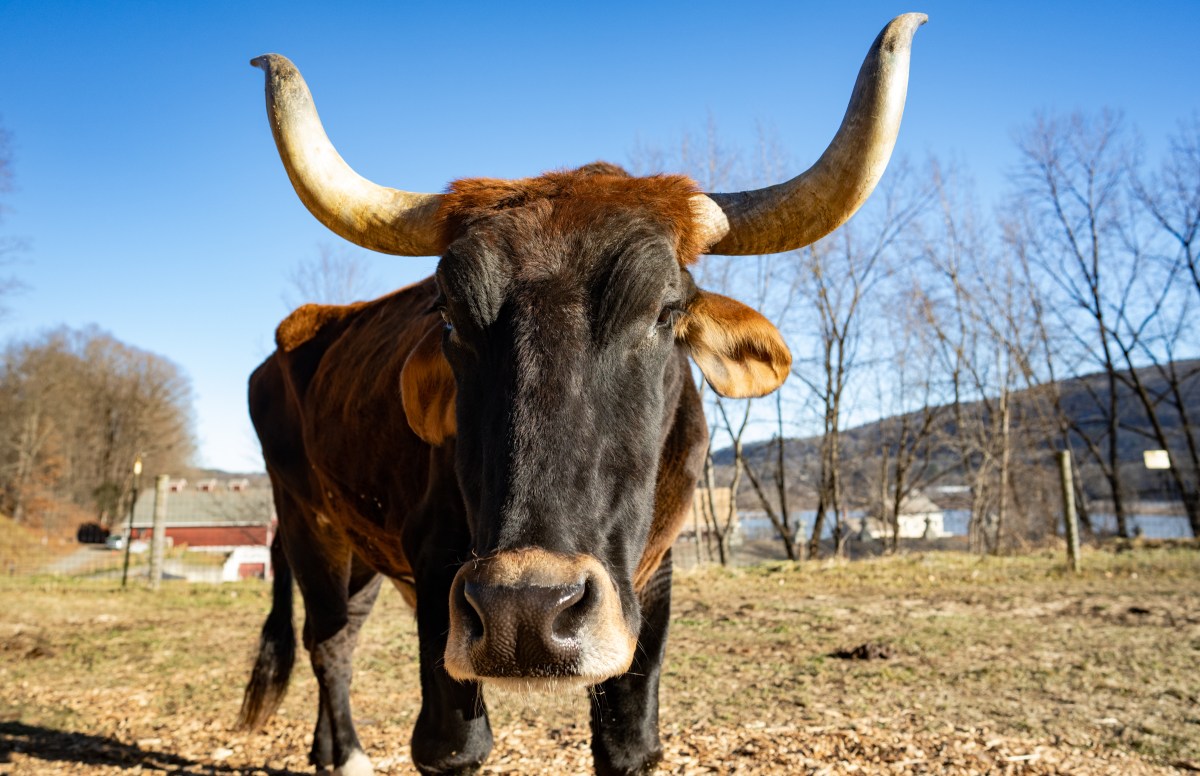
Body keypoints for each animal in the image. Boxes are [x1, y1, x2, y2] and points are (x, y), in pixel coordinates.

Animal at [237, 14, 925, 776]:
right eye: (449, 315)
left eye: (664, 311)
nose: (526, 611)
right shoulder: (439, 573)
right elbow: (452, 744)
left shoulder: (652, 579)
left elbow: (628, 742)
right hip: (308, 524)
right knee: (328, 639)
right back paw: (349, 753)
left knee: (344, 634)